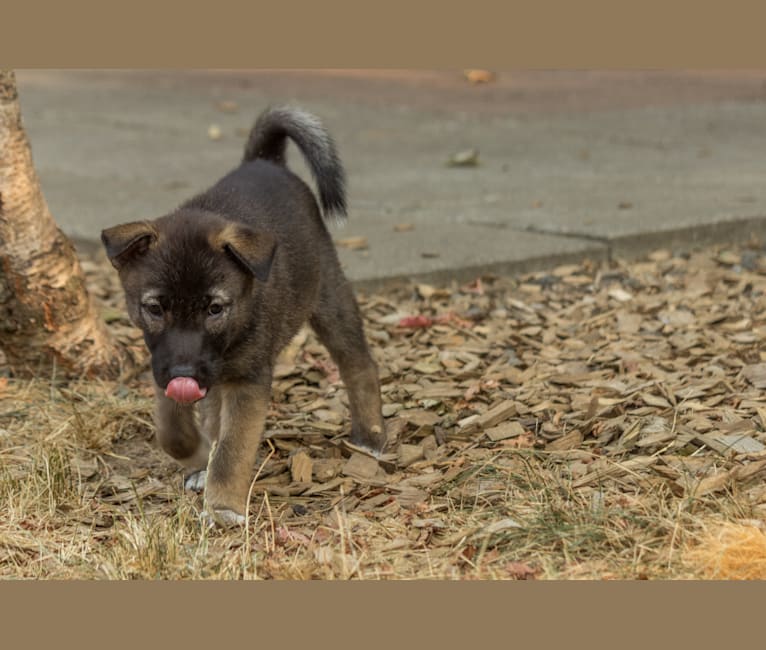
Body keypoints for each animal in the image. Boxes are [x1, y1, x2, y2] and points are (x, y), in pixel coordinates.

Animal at [102, 105, 388, 520]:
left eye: (215, 308)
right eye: (154, 307)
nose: (185, 374)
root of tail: (264, 161)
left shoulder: (247, 381)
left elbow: (233, 447)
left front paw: (222, 505)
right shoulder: (164, 364)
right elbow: (172, 430)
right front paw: (196, 456)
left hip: (328, 294)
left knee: (359, 363)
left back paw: (371, 436)